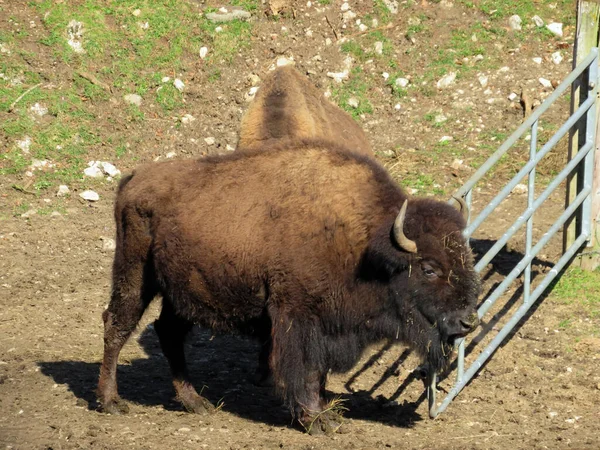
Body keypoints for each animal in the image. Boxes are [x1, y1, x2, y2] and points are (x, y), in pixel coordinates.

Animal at [99, 142, 482, 434]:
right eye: (429, 269)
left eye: (466, 256)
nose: (468, 321)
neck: (365, 244)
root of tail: (134, 179)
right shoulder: (298, 317)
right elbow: (305, 370)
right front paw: (317, 420)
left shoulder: (329, 325)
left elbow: (319, 371)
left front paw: (327, 411)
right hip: (135, 273)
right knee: (116, 325)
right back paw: (110, 402)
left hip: (182, 293)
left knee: (169, 333)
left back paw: (196, 402)